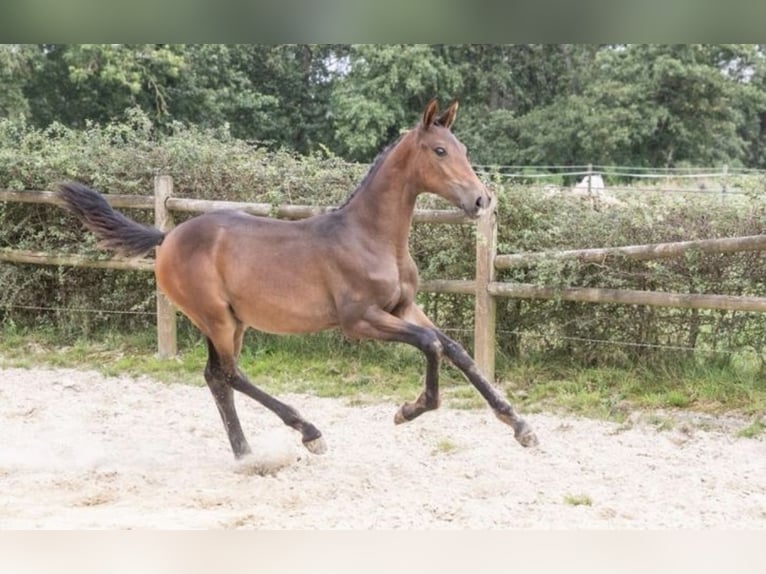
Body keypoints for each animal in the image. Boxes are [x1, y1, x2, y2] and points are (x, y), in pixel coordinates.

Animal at [57, 98, 540, 460]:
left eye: (463, 149)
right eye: (439, 151)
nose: (481, 200)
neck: (370, 237)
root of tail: (168, 235)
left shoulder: (403, 306)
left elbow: (456, 349)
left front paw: (519, 425)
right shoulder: (360, 321)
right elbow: (431, 345)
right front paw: (411, 409)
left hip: (231, 321)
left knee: (216, 377)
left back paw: (246, 452)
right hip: (216, 318)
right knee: (229, 374)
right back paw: (306, 433)